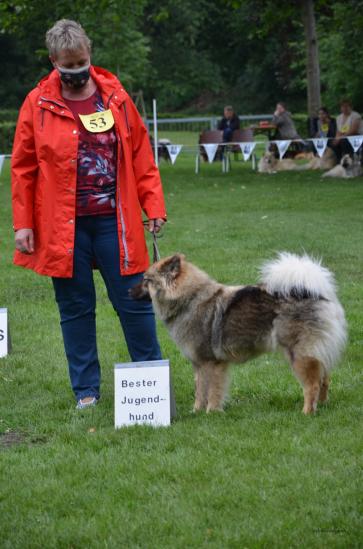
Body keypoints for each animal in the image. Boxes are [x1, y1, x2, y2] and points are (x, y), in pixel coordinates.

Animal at [132, 252, 348, 412]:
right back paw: (321, 406)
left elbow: (213, 390)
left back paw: (306, 412)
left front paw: (211, 412)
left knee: (312, 385)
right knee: (324, 379)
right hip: (314, 353)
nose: (128, 291)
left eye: (146, 280)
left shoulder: (212, 362)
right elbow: (200, 390)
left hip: (300, 355)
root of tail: (319, 293)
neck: (189, 299)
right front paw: (196, 411)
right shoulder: (199, 364)